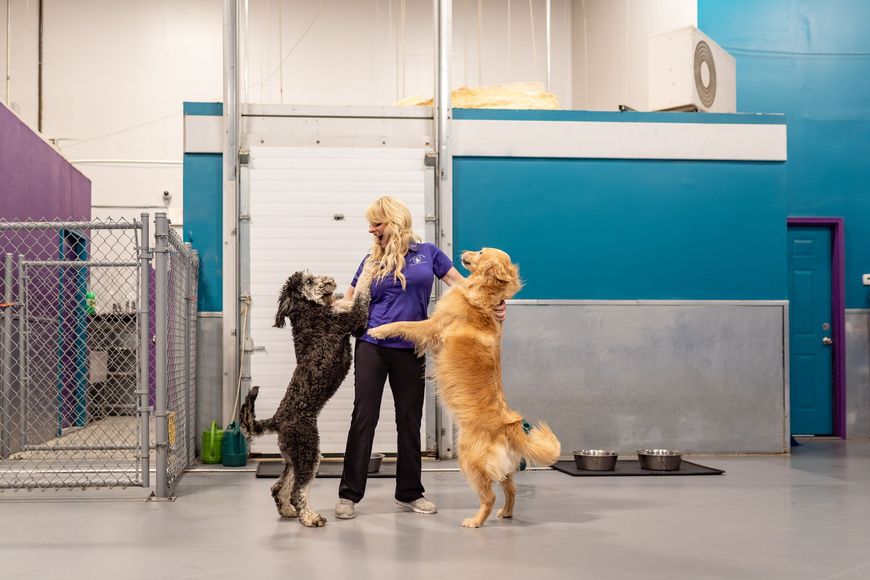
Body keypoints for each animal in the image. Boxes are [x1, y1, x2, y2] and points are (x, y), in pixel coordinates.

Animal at [242, 266, 372, 528]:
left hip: (294, 455)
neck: (307, 311)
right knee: (297, 491)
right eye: (310, 281)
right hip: (309, 449)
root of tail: (278, 418)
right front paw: (373, 265)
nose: (331, 281)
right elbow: (361, 293)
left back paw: (288, 511)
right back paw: (310, 518)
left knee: (278, 487)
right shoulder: (352, 321)